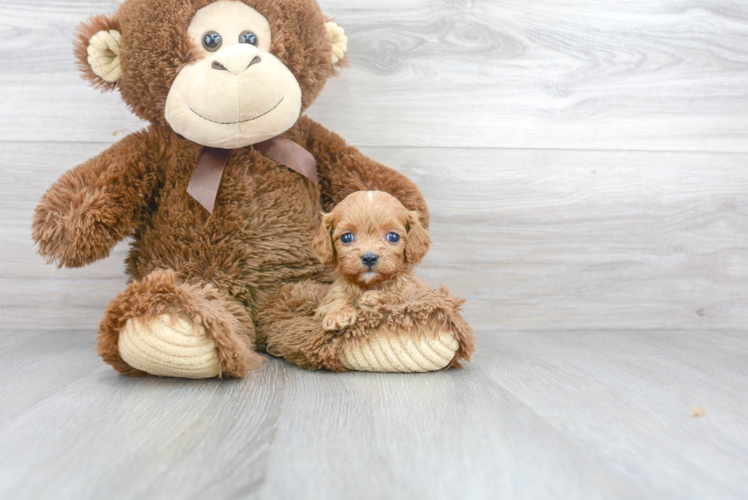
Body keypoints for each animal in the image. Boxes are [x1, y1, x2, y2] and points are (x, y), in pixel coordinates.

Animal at [312, 191, 432, 332]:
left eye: (393, 236)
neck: (371, 284)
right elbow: (336, 300)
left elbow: (396, 296)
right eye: (346, 237)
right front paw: (338, 314)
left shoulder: (416, 297)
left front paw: (373, 298)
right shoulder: (327, 301)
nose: (369, 258)